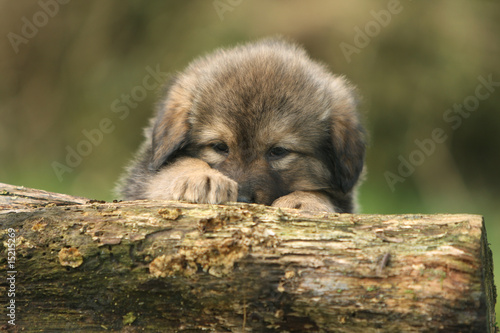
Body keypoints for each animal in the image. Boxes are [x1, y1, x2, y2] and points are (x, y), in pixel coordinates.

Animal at [117, 37, 368, 213]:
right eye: (219, 147)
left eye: (278, 151)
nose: (242, 200)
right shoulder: (142, 181)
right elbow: (174, 168)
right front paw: (201, 177)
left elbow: (324, 196)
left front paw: (305, 201)